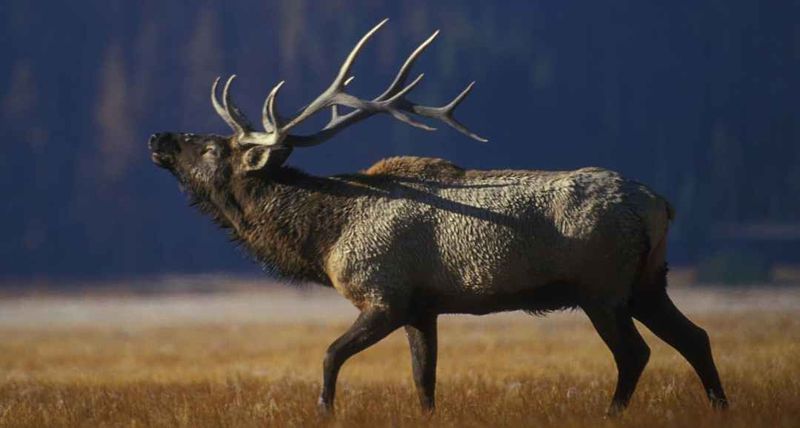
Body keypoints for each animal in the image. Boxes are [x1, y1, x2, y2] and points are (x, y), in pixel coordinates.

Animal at [148, 18, 728, 415]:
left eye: (212, 147)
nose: (158, 137)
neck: (325, 237)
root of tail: (659, 205)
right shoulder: (422, 308)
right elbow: (423, 381)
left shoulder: (383, 295)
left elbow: (331, 356)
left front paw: (325, 411)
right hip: (648, 282)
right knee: (695, 337)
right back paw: (719, 406)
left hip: (601, 288)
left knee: (635, 353)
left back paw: (612, 413)